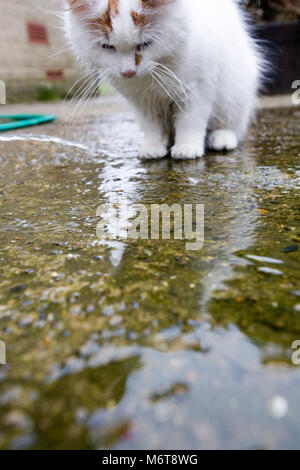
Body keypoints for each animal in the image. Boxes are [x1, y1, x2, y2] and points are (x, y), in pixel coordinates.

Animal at [63, 0, 262, 160]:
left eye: (145, 44)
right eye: (106, 47)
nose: (128, 72)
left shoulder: (197, 89)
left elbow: (191, 121)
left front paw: (187, 148)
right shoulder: (143, 102)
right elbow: (152, 127)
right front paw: (153, 148)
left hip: (233, 94)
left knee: (231, 125)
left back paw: (221, 139)